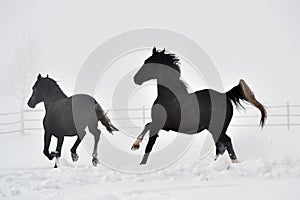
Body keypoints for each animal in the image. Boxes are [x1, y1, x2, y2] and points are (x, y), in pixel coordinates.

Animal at [130, 47, 266, 165]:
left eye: (147, 62)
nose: (135, 79)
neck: (168, 96)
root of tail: (225, 95)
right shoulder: (162, 125)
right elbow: (148, 133)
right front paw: (137, 152)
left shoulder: (160, 123)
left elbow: (149, 137)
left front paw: (136, 149)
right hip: (216, 129)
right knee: (220, 146)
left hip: (216, 128)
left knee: (226, 142)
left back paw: (232, 163)